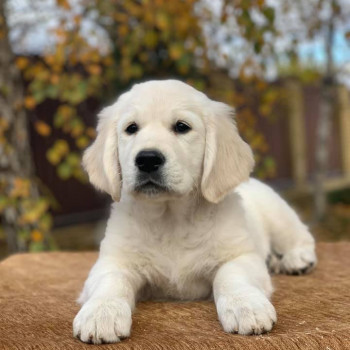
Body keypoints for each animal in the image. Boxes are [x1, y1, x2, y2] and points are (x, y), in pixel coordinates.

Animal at [72, 80, 316, 344]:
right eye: (131, 128)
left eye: (182, 127)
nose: (147, 159)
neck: (170, 219)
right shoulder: (113, 259)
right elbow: (111, 280)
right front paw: (101, 313)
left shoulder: (240, 255)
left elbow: (230, 275)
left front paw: (246, 306)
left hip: (278, 214)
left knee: (300, 236)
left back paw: (297, 259)